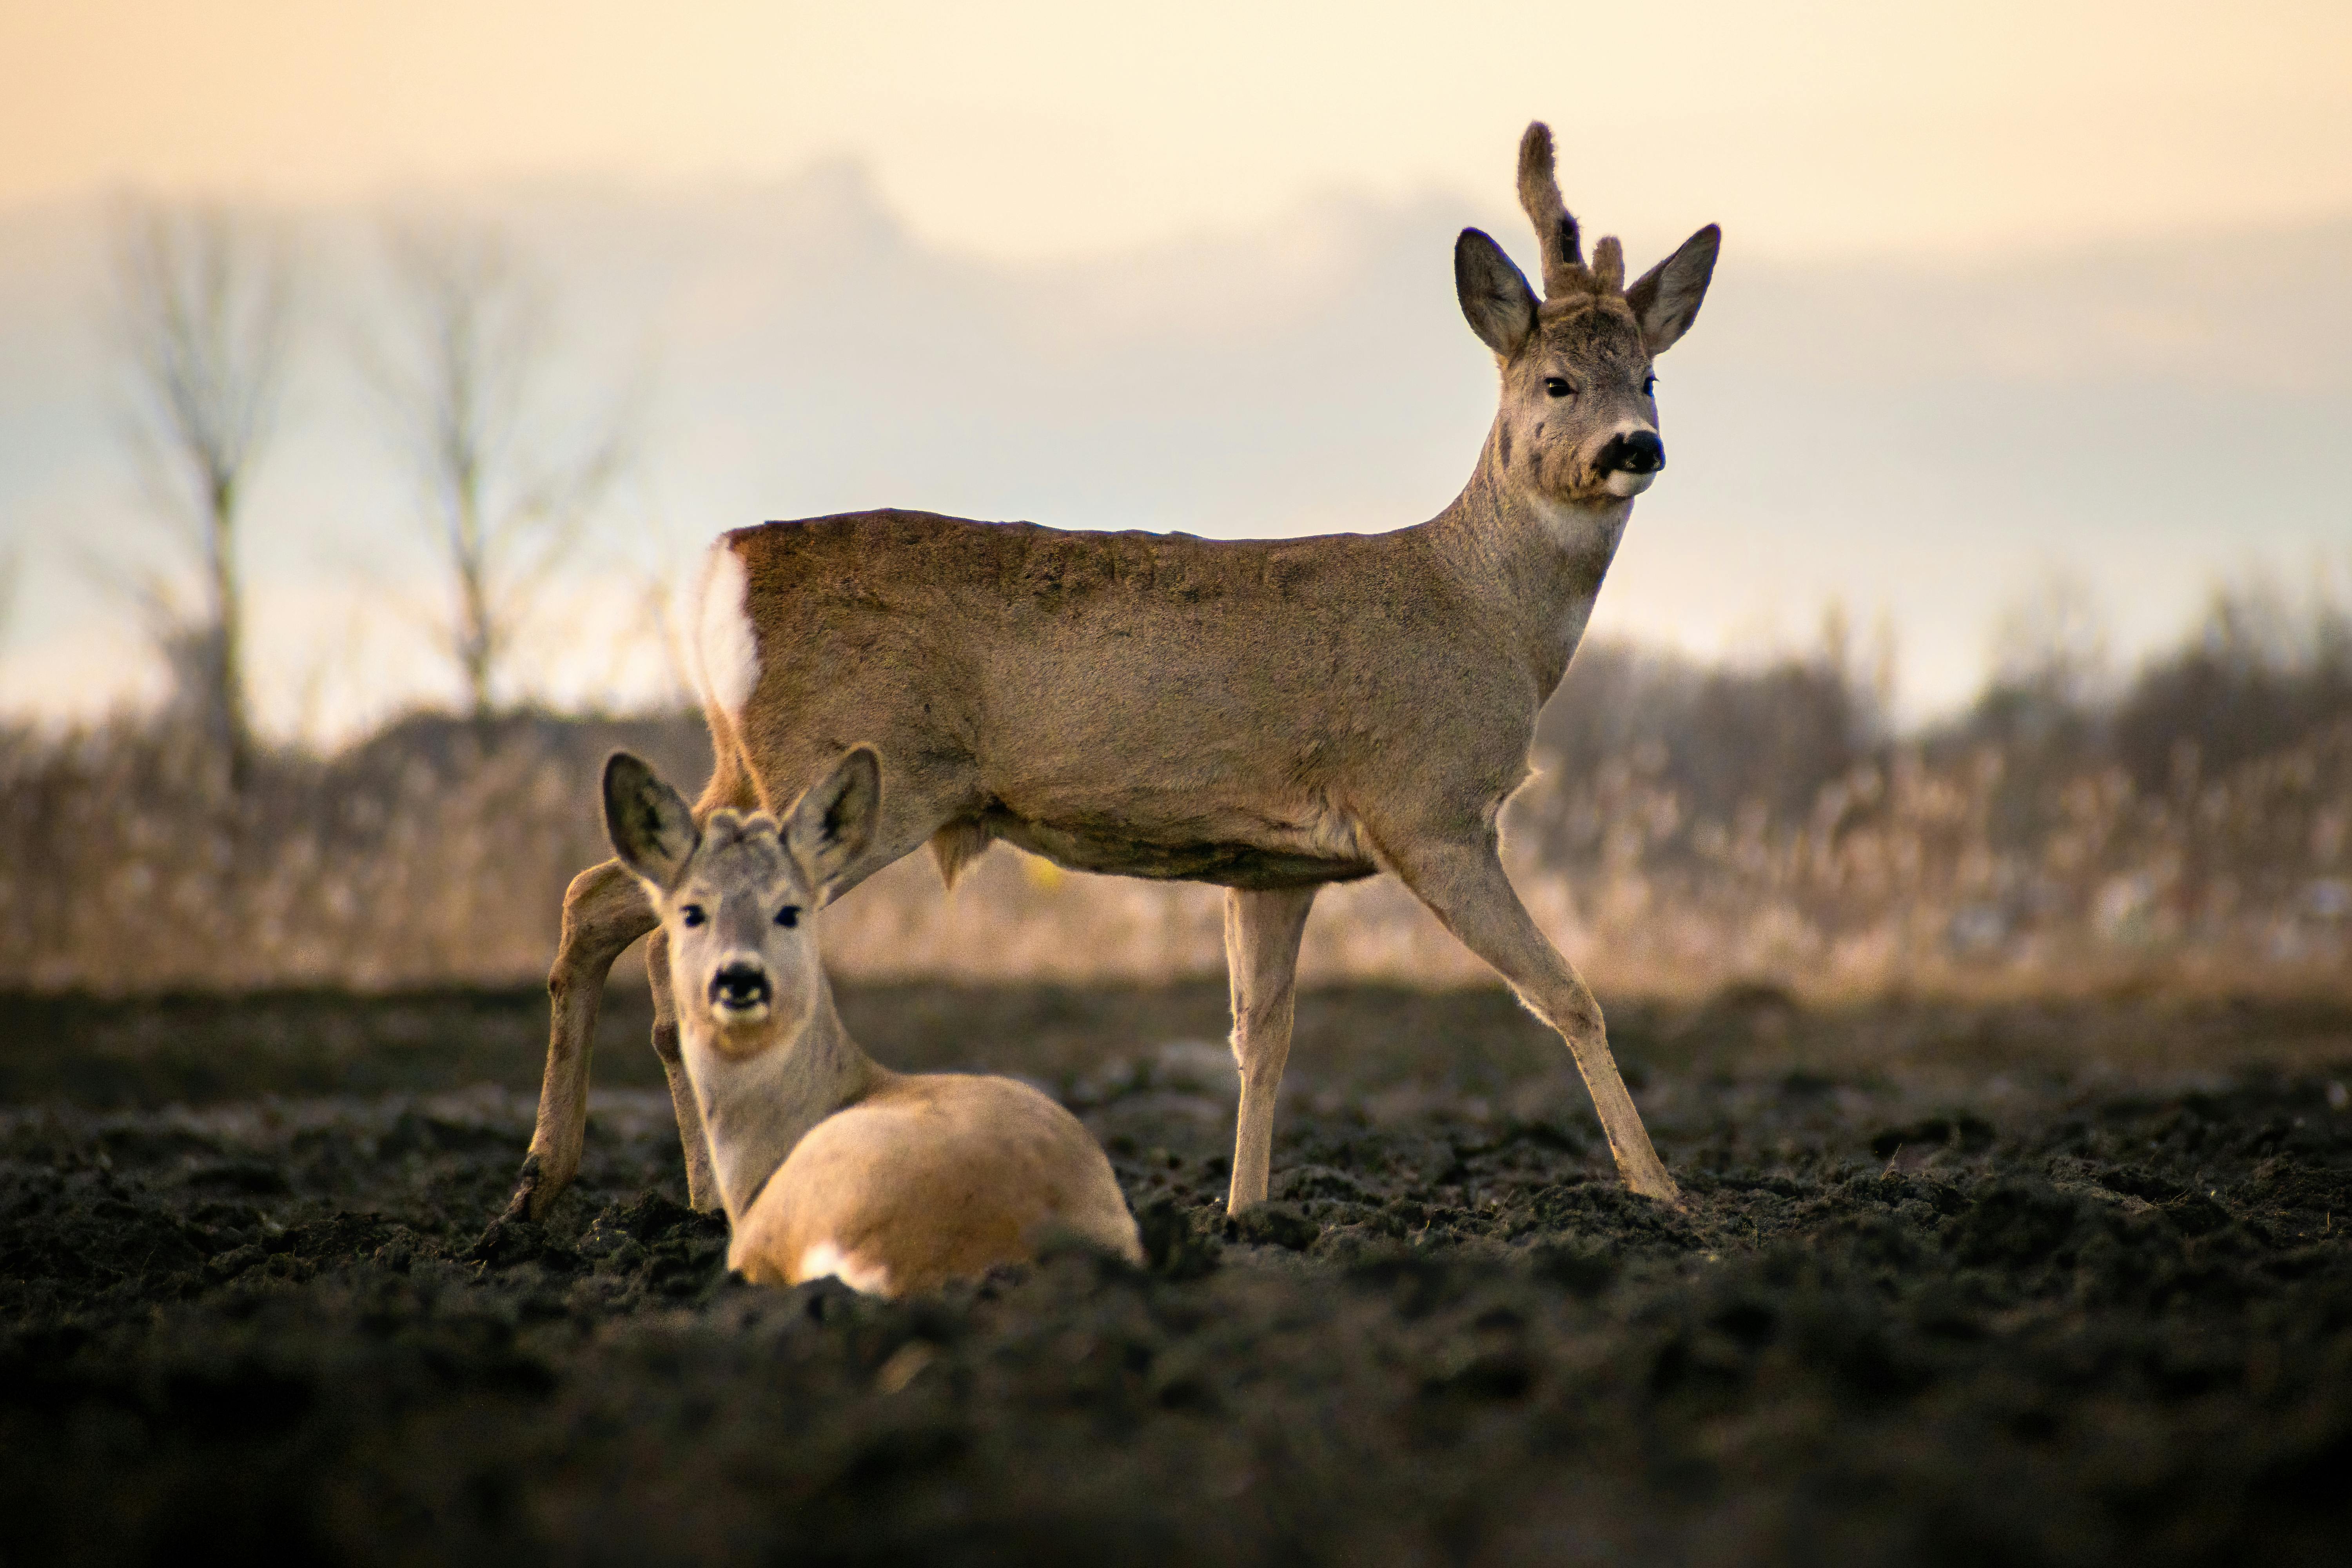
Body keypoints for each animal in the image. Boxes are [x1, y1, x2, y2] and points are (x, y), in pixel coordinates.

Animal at [510, 123, 1731, 1222]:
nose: (1638, 447)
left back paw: (591, 1188)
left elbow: (1261, 1036)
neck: (1486, 613)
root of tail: (722, 565)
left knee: (602, 898)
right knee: (654, 921)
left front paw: (1244, 1213)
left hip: (748, 759)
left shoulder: (1276, 862)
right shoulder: (1428, 805)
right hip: (843, 766)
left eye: (1652, 376)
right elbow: (1567, 994)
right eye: (1560, 381)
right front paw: (1662, 1193)